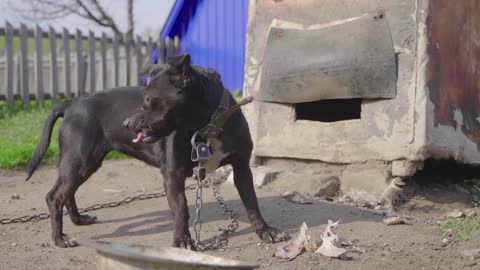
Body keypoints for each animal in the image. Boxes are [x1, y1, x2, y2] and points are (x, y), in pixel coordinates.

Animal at [27, 54, 288, 249]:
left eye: (148, 98)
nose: (126, 123)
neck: (207, 125)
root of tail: (71, 104)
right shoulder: (173, 173)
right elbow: (181, 208)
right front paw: (182, 240)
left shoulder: (242, 168)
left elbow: (252, 203)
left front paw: (266, 231)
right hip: (80, 161)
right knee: (55, 197)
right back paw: (59, 239)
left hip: (81, 163)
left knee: (65, 193)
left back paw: (79, 220)